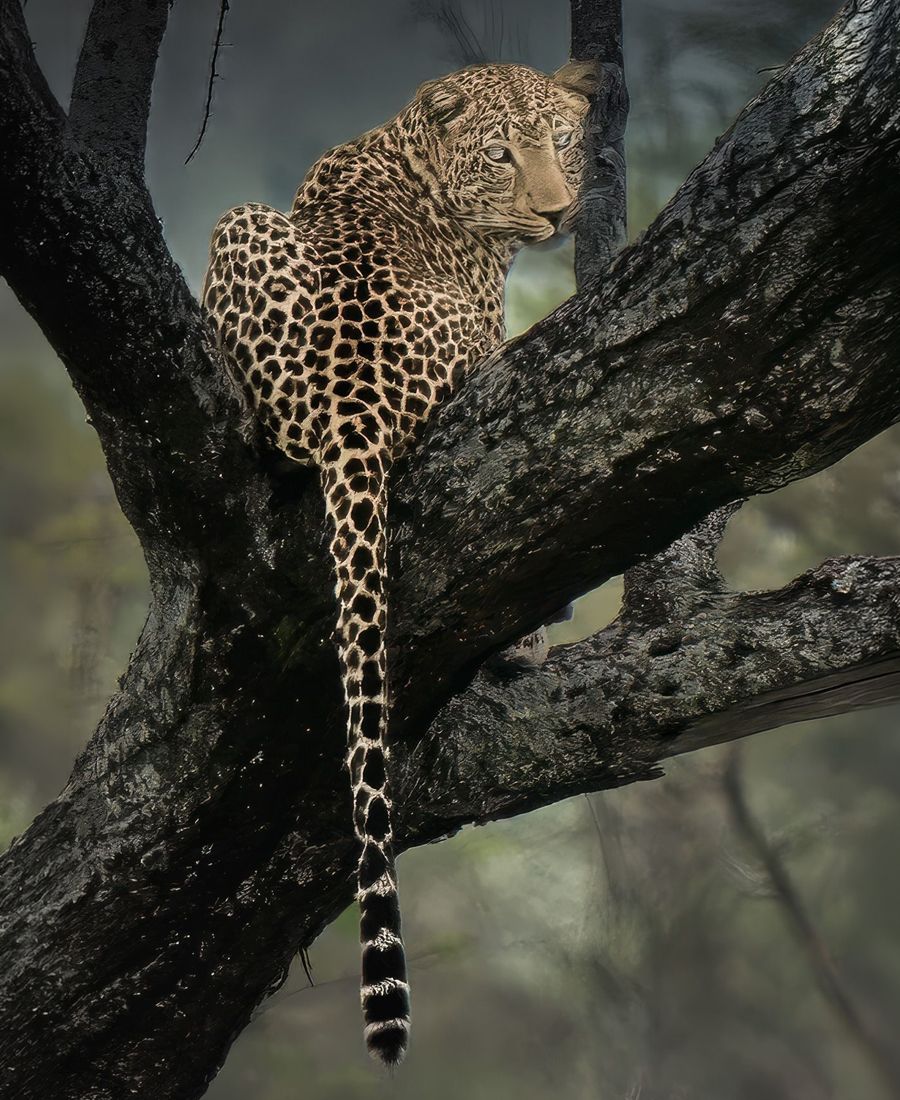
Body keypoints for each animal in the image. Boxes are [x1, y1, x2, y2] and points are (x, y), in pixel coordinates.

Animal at [202, 60, 595, 1066]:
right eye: (502, 156)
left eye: (565, 144)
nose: (558, 214)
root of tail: (353, 397)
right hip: (482, 350)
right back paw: (525, 645)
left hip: (235, 220)